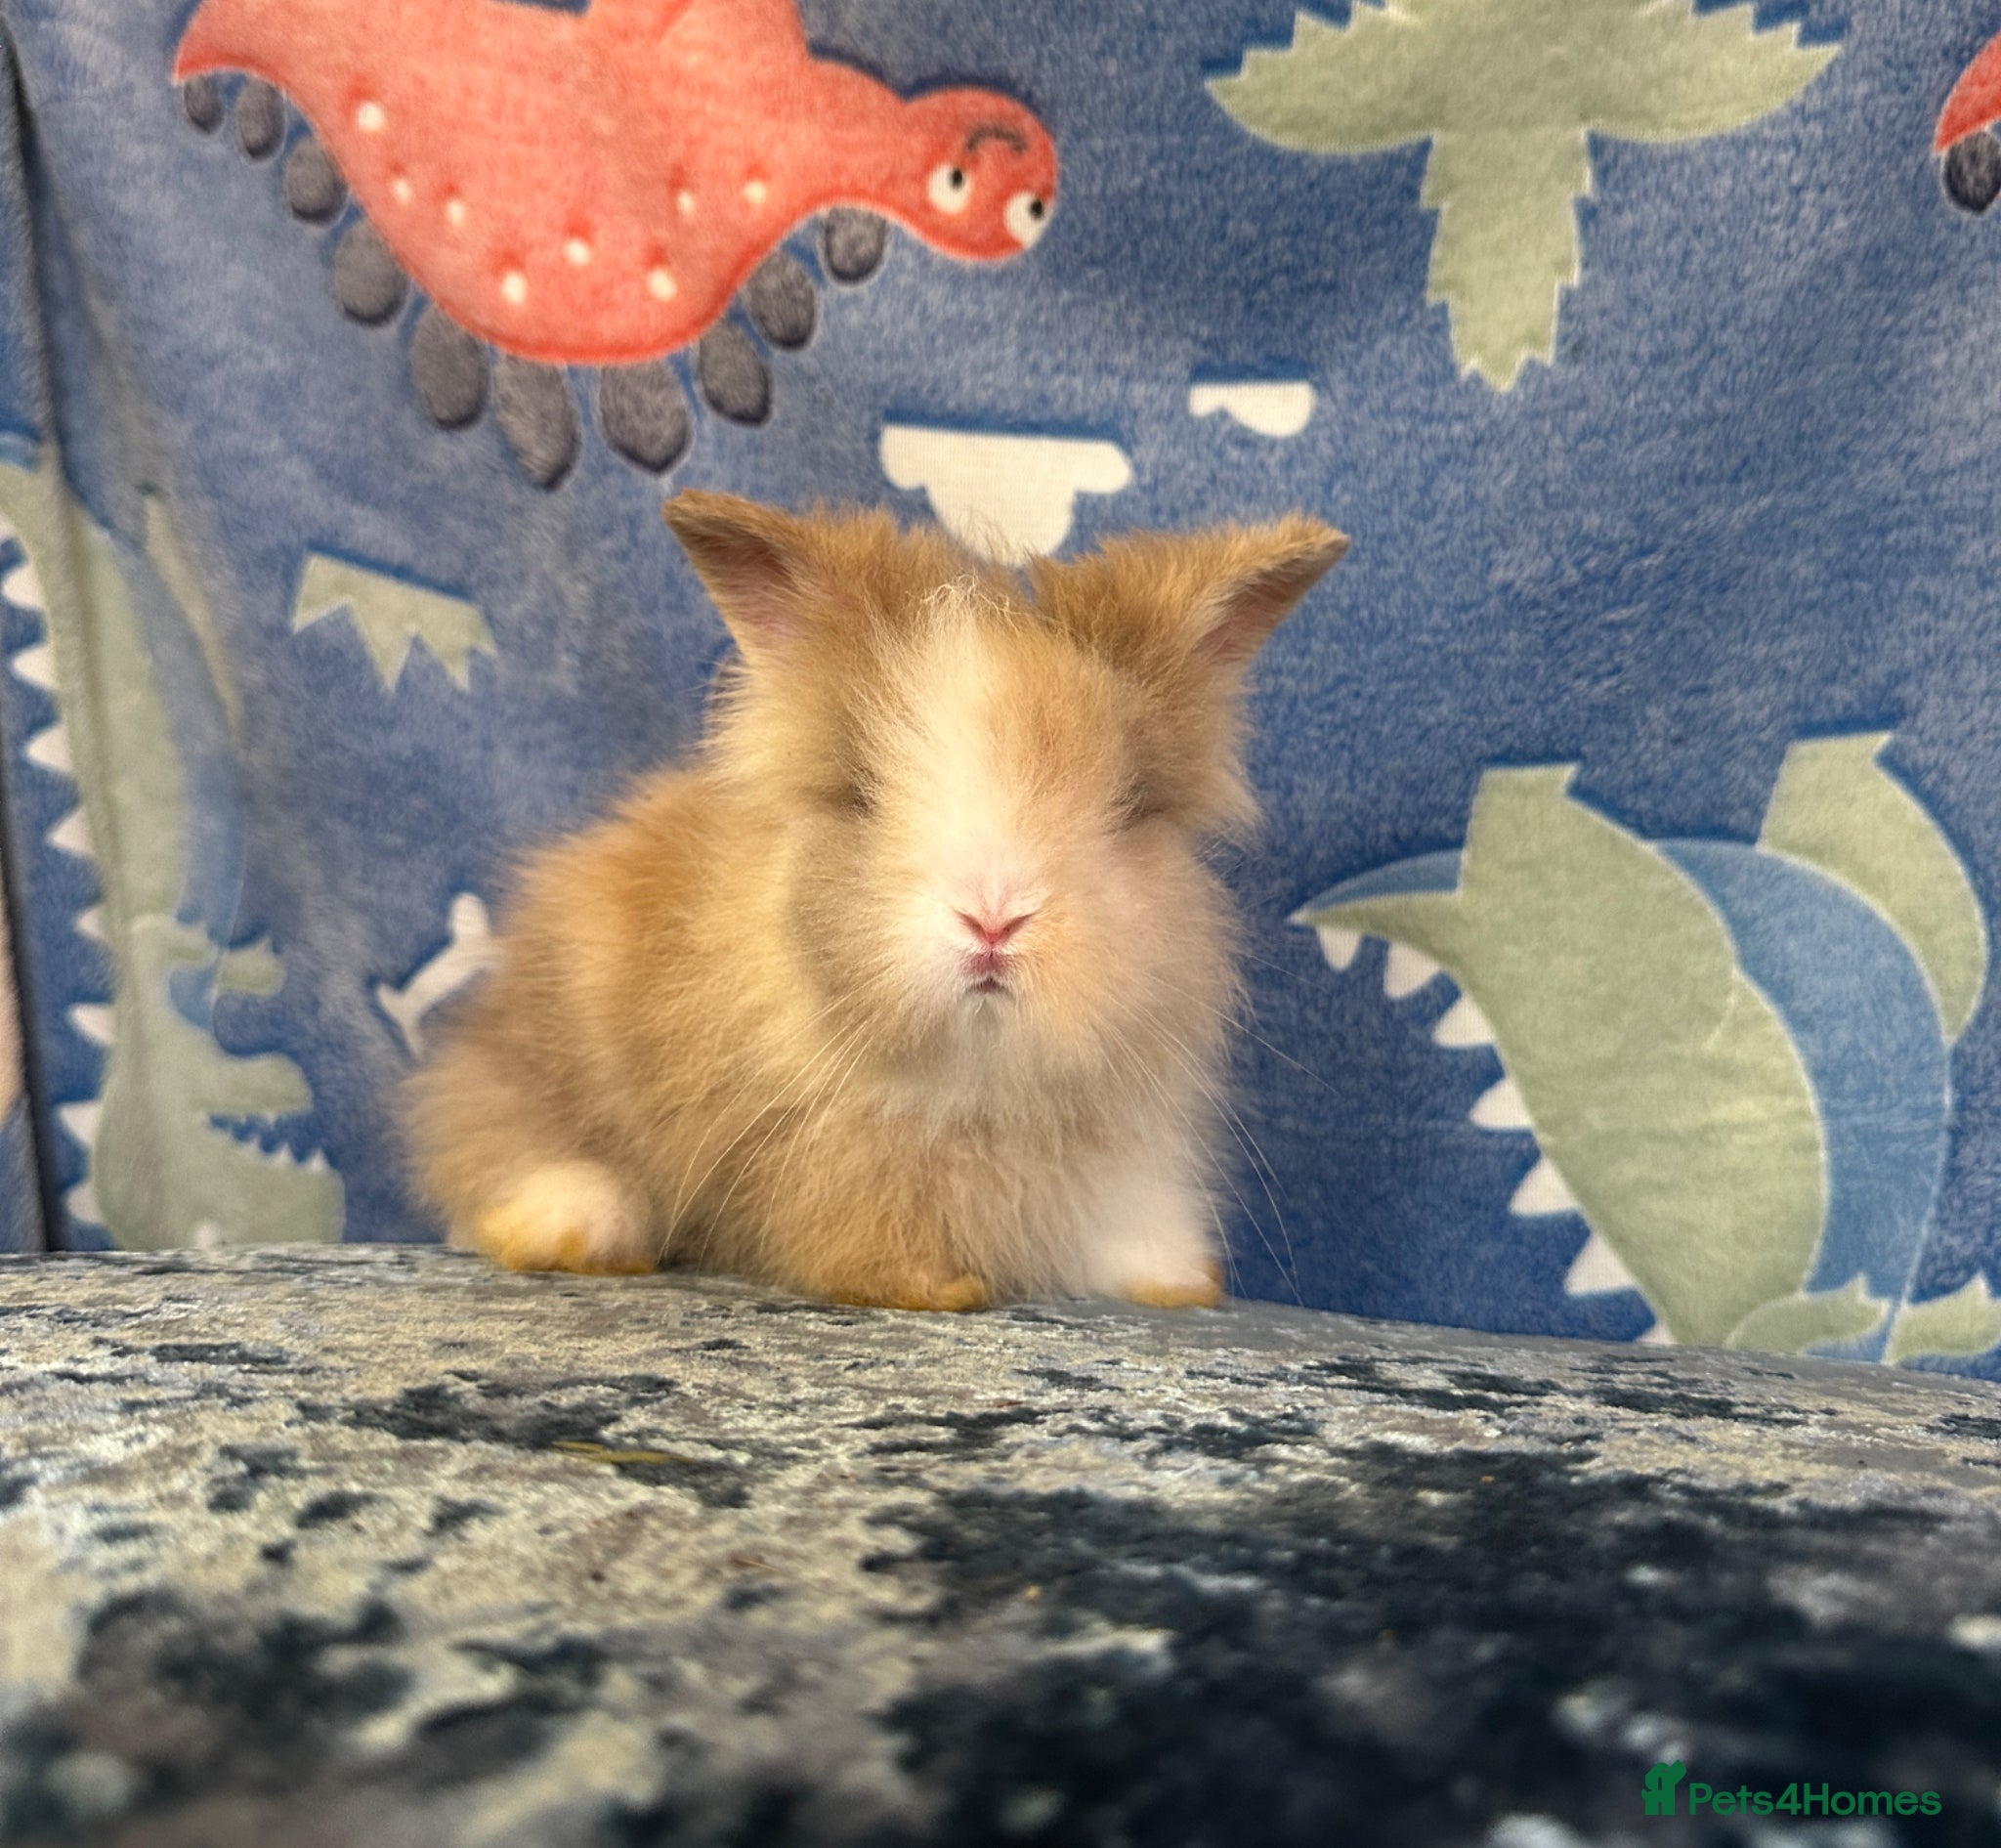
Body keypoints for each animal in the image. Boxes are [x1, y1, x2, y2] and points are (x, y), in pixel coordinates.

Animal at [405, 490, 1347, 1309]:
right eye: (861, 792)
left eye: (1130, 803)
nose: (994, 917)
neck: (974, 1085)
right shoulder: (816, 1160)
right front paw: (931, 1288)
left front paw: (1180, 1281)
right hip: (529, 1062)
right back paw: (571, 1226)